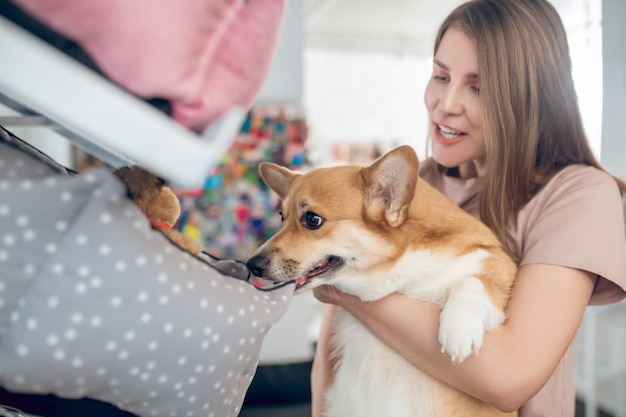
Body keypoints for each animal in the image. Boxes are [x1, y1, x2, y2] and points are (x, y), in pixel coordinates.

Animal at [246, 145, 516, 416]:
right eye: (282, 217)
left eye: (312, 219)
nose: (252, 265)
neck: (405, 277)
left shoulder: (496, 266)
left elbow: (471, 281)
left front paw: (459, 331)